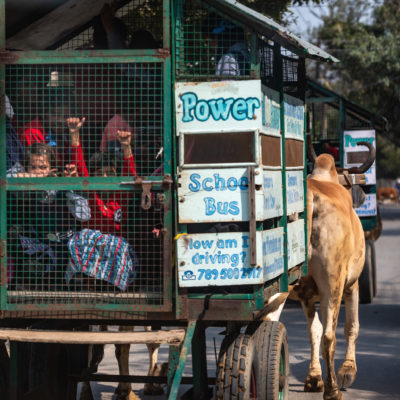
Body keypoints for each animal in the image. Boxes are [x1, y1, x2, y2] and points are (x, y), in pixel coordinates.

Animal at [290, 141, 376, 400]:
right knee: (330, 336)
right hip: (334, 284)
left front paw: (313, 378)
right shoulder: (352, 285)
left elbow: (313, 331)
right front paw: (348, 370)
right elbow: (351, 328)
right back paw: (333, 389)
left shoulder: (307, 296)